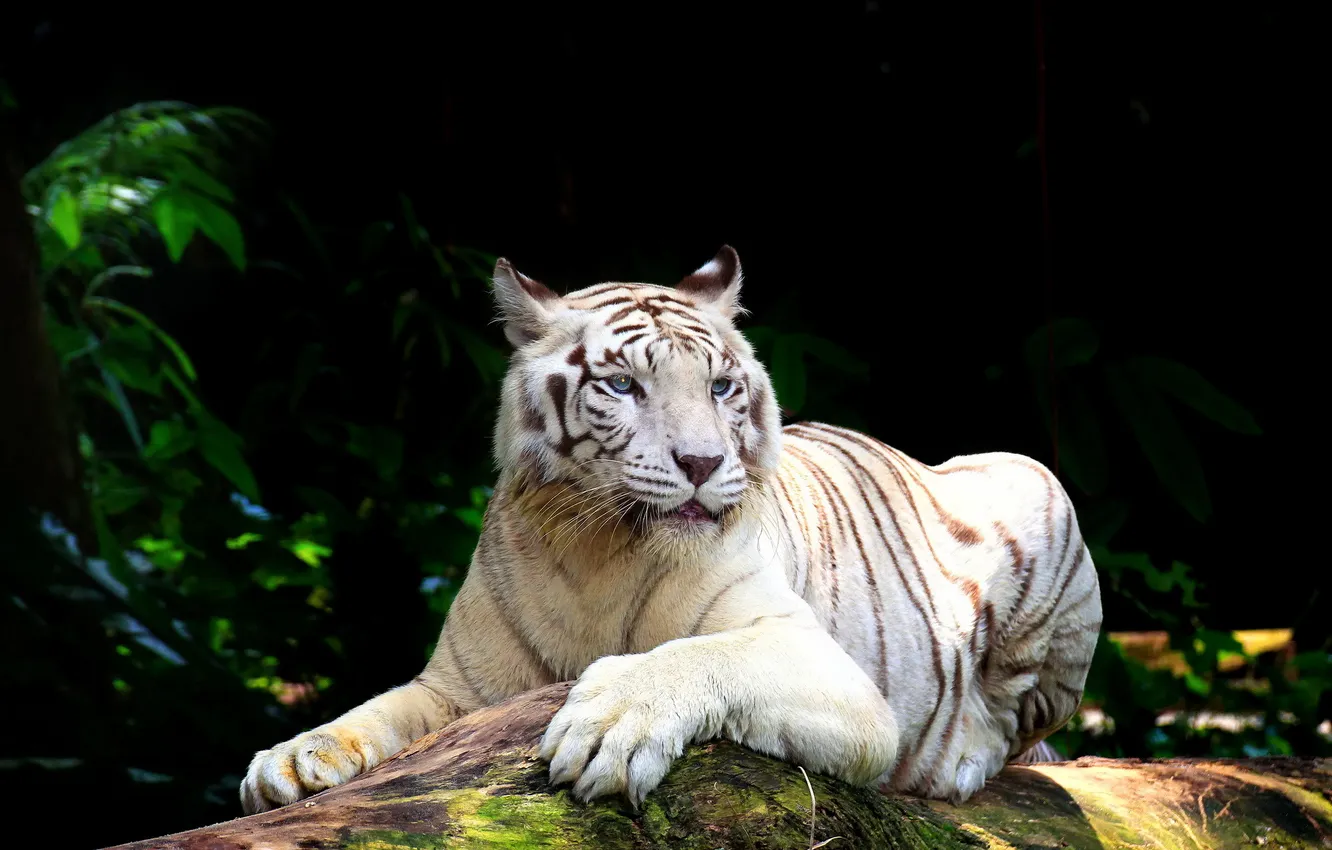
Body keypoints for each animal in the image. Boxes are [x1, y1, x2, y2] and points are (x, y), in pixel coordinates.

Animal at [239, 246, 1102, 815]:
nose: (701, 461)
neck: (594, 548)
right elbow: (378, 709)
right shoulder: (459, 688)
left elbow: (699, 656)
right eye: (623, 385)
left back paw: (959, 759)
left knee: (1015, 728)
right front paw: (292, 759)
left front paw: (611, 725)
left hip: (1036, 488)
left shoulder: (825, 668)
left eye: (721, 386)